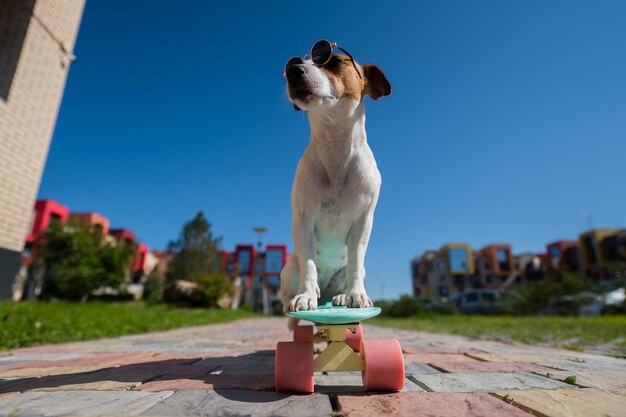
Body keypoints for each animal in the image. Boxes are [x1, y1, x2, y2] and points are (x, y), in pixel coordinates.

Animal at [280, 41, 388, 324]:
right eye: (292, 63)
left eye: (333, 61)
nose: (293, 70)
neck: (335, 146)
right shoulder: (303, 220)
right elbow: (308, 263)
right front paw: (305, 296)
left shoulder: (363, 221)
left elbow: (356, 262)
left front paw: (356, 295)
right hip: (288, 267)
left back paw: (340, 296)